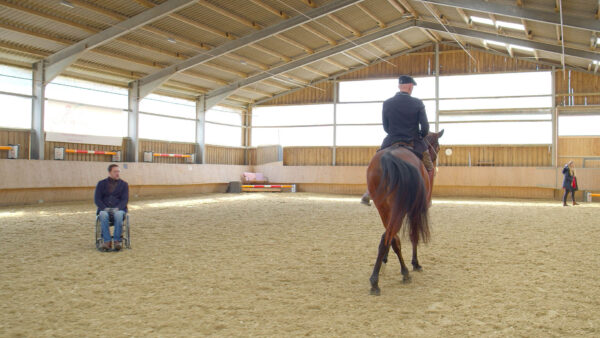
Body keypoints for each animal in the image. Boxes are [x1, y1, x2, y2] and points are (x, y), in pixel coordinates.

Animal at [366, 131, 446, 294]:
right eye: (438, 147)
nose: (433, 167)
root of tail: (389, 158)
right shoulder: (415, 211)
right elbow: (414, 236)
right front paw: (415, 263)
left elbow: (393, 238)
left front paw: (385, 261)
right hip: (401, 209)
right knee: (389, 237)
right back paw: (380, 280)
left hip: (384, 208)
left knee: (389, 237)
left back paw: (396, 272)